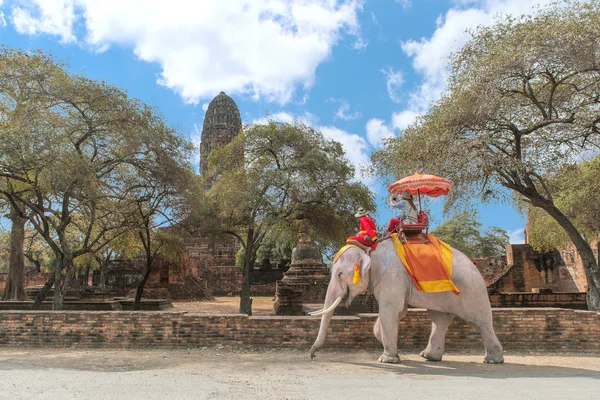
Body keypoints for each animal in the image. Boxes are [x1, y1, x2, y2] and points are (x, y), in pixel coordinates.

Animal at [312, 238, 504, 366]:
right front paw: (392, 350)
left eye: (339, 274)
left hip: (472, 292)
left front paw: (387, 360)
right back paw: (428, 357)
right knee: (440, 320)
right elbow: (398, 311)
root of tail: (476, 268)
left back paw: (493, 361)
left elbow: (390, 310)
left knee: (481, 322)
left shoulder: (391, 277)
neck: (368, 250)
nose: (313, 356)